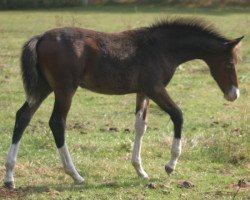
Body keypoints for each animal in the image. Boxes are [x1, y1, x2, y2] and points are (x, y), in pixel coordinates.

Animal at [3, 17, 242, 188]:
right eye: (230, 63)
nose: (234, 94)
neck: (161, 47)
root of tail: (41, 36)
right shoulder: (155, 88)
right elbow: (178, 115)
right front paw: (170, 165)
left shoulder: (143, 92)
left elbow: (140, 126)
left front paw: (140, 170)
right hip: (64, 89)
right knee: (56, 122)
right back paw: (75, 175)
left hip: (43, 87)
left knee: (23, 116)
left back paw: (9, 176)